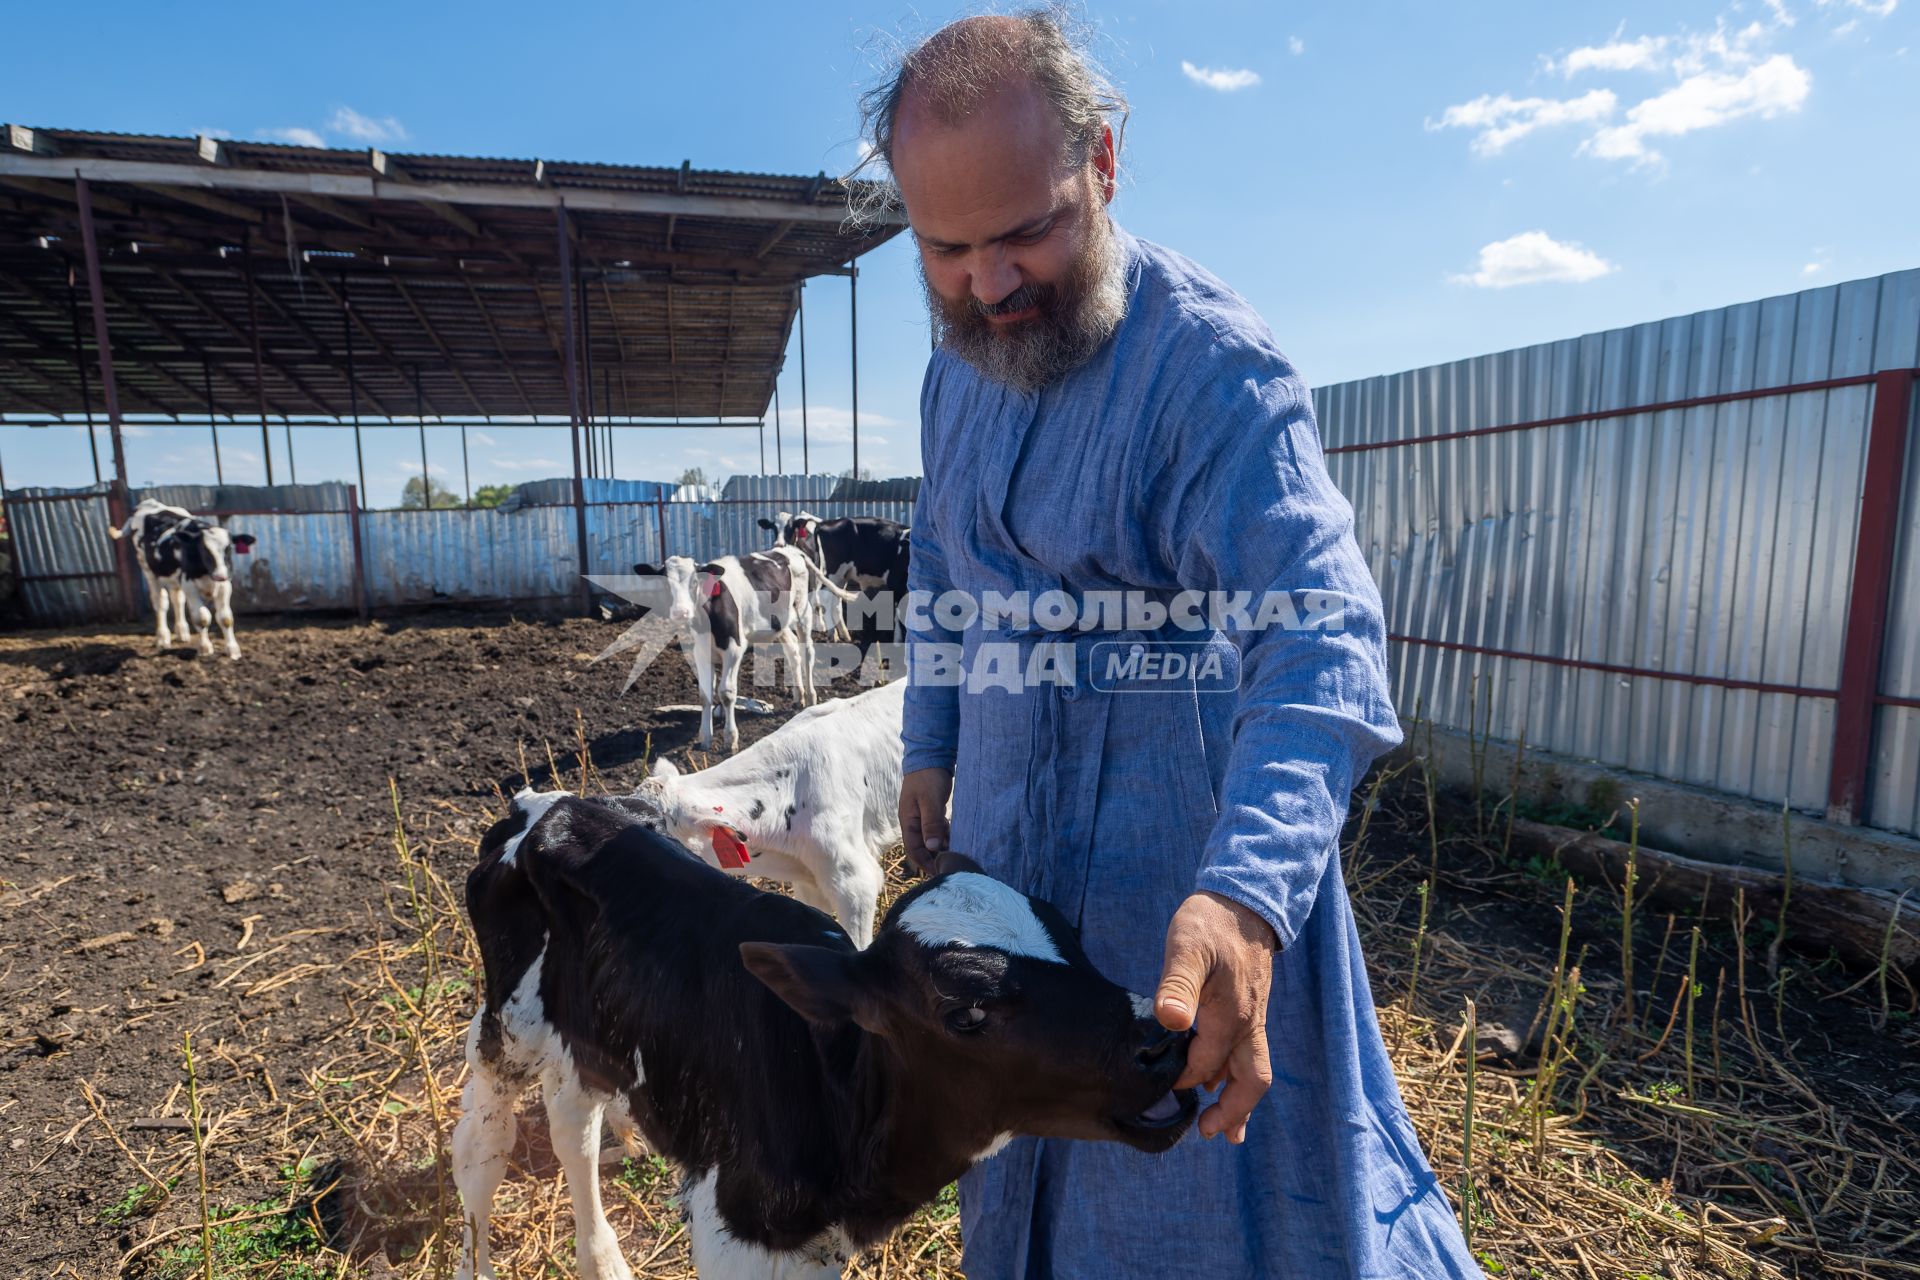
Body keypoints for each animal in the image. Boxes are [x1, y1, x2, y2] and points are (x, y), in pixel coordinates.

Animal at [108, 498, 257, 660]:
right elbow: (201, 618)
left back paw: (182, 632)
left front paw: (233, 650)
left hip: (175, 579)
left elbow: (226, 618)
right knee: (160, 603)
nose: (220, 575)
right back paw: (163, 638)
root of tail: (148, 503)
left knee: (177, 600)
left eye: (229, 548)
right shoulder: (189, 585)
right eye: (203, 549)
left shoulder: (224, 586)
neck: (205, 572)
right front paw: (205, 648)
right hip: (148, 570)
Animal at [455, 790, 1190, 1280]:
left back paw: (603, 1256)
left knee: (570, 1122)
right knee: (483, 1151)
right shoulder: (730, 1235)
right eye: (968, 1013)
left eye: (1075, 936)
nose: (1164, 1040)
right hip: (504, 1036)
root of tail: (552, 809)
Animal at [629, 548, 856, 752]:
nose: (681, 612)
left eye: (695, 582)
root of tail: (790, 551)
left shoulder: (734, 648)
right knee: (793, 651)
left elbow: (727, 693)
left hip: (803, 611)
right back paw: (798, 695)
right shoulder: (700, 651)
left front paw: (730, 739)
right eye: (665, 583)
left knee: (807, 652)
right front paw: (705, 738)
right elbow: (705, 694)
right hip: (779, 622)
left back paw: (810, 696)